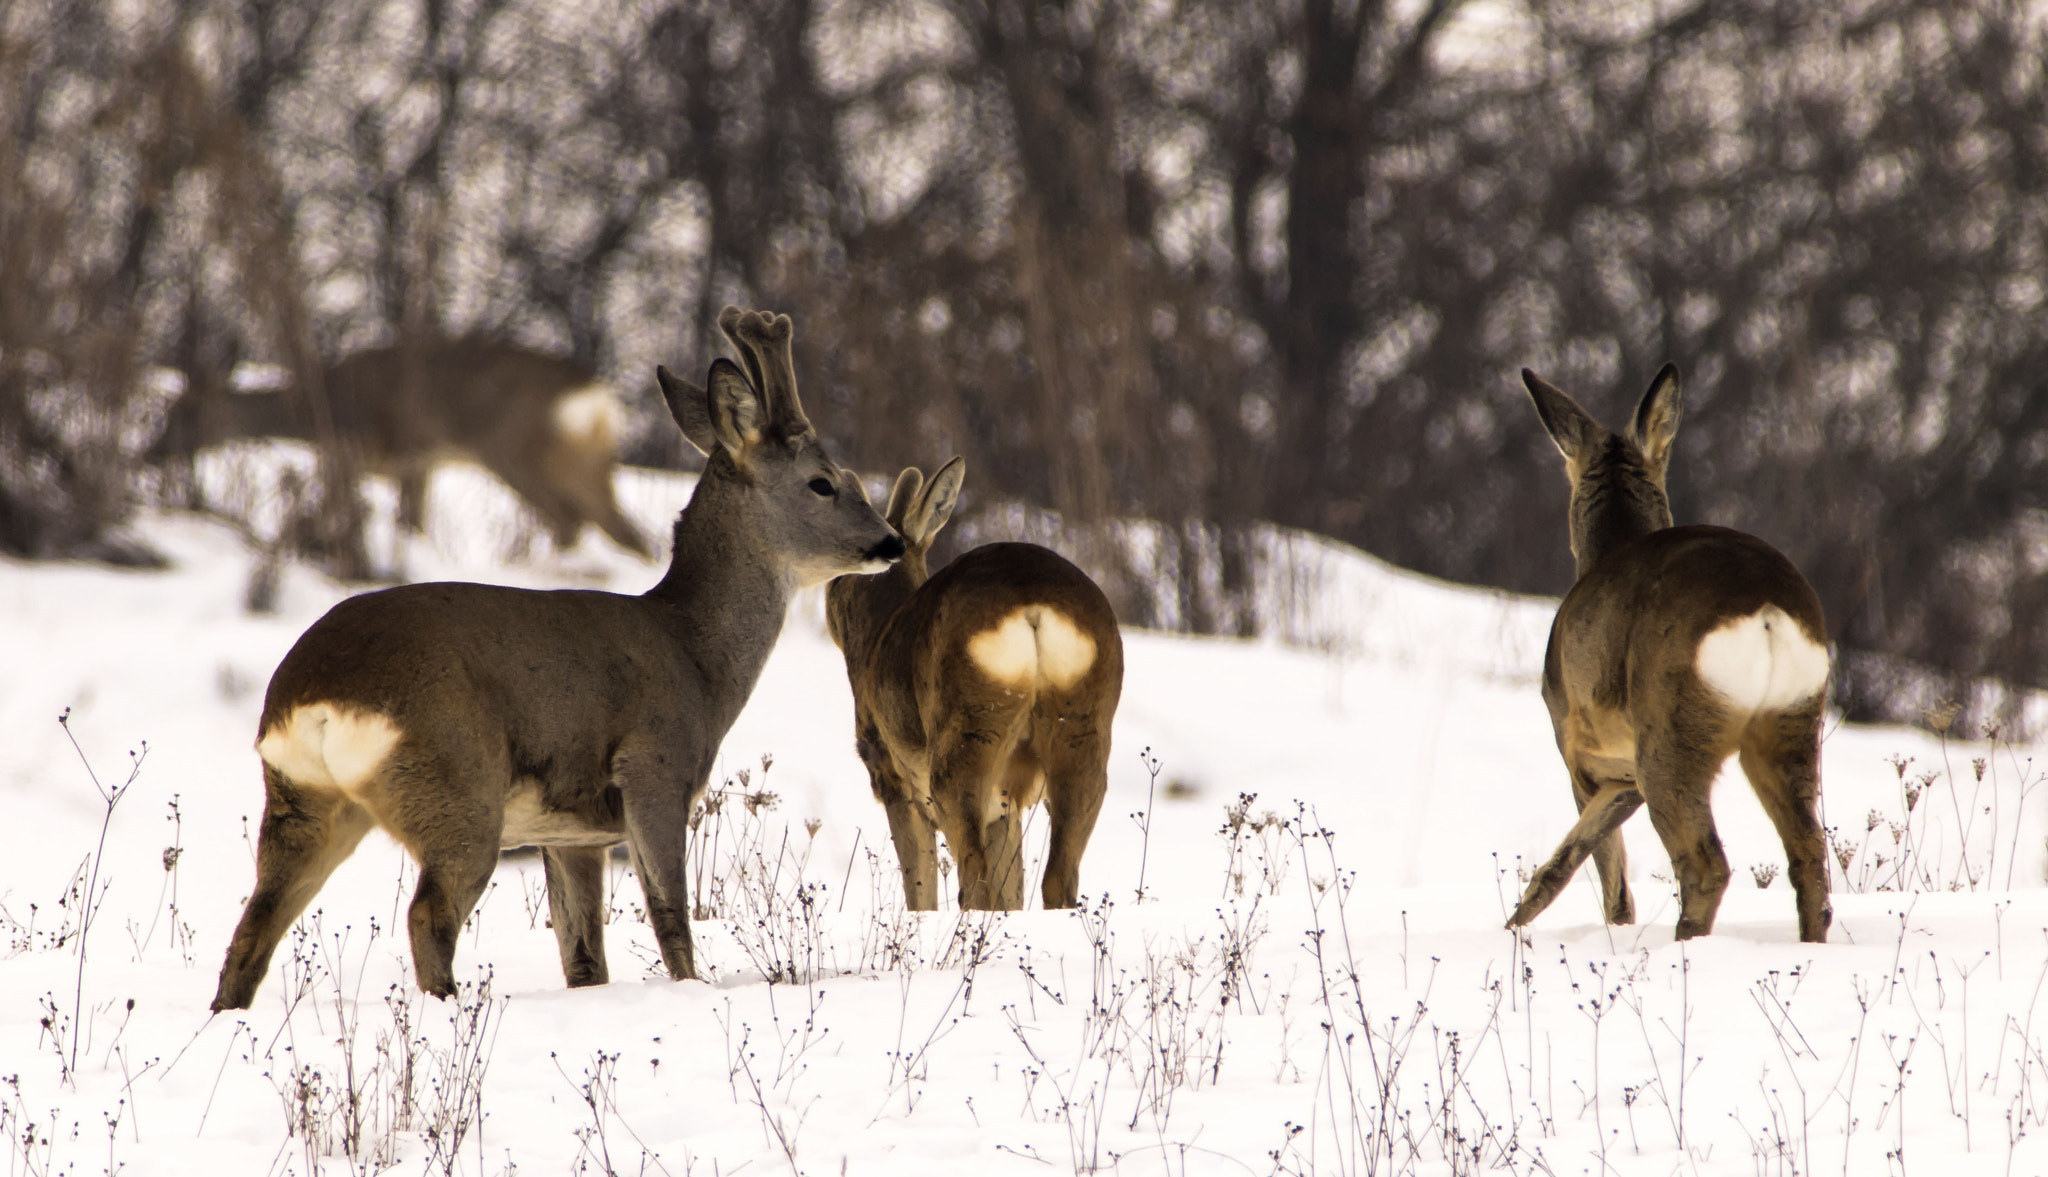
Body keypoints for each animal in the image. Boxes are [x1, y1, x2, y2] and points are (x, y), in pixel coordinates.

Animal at [151, 337, 647, 560]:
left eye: (183, 413)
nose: (150, 451)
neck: (319, 407)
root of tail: (596, 397)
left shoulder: (351, 452)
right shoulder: (418, 464)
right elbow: (413, 523)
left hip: (513, 451)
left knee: (570, 521)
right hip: (587, 463)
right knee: (628, 533)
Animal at [207, 309, 905, 1007]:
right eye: (824, 483)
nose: (891, 542)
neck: (694, 654)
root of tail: (311, 698)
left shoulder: (570, 831)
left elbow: (584, 957)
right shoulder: (654, 769)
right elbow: (670, 917)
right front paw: (691, 989)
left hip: (303, 800)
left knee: (253, 926)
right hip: (457, 788)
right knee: (427, 914)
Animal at [823, 458, 1130, 912]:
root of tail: (1032, 605)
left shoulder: (890, 774)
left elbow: (921, 892)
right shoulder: (1005, 805)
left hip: (967, 729)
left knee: (976, 882)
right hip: (1084, 723)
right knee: (1058, 878)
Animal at [1507, 364, 1843, 945]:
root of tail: (1767, 612)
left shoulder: (1579, 749)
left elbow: (1598, 863)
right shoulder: (1622, 772)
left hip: (1672, 727)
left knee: (1706, 863)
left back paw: (1684, 943)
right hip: (1790, 721)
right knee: (1809, 853)